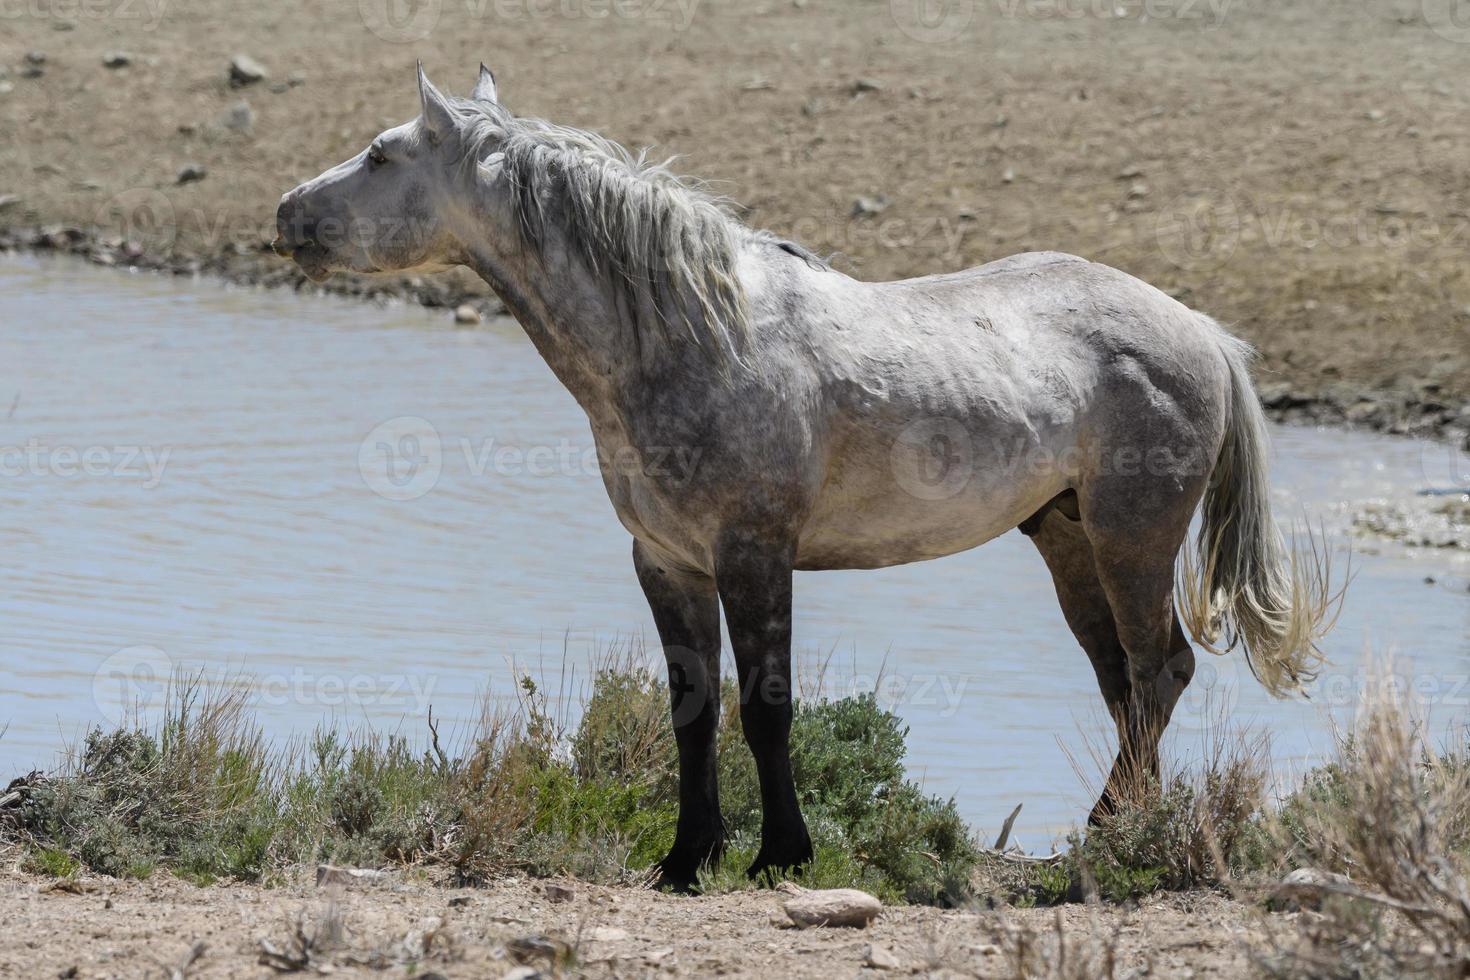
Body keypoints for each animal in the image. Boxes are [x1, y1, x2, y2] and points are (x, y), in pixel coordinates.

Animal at [277, 65, 1346, 893]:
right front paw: (685, 859)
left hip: (1133, 540)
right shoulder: (667, 563)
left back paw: (1117, 832)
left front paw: (779, 855)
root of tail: (1200, 331)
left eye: (381, 154)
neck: (696, 336)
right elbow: (694, 710)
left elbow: (766, 706)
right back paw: (1117, 826)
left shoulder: (755, 555)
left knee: (1159, 669)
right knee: (1124, 681)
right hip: (1067, 536)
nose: (285, 214)